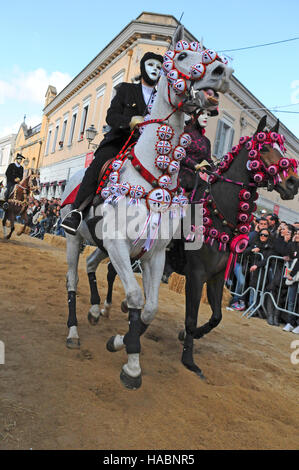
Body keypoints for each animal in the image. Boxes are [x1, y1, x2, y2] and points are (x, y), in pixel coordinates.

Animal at [61, 24, 234, 390]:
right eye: (181, 55)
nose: (221, 72)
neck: (151, 180)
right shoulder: (118, 245)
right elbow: (136, 299)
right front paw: (131, 364)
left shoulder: (153, 255)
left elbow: (151, 307)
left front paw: (122, 345)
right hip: (73, 239)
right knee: (71, 281)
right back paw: (73, 331)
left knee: (92, 269)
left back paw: (96, 312)